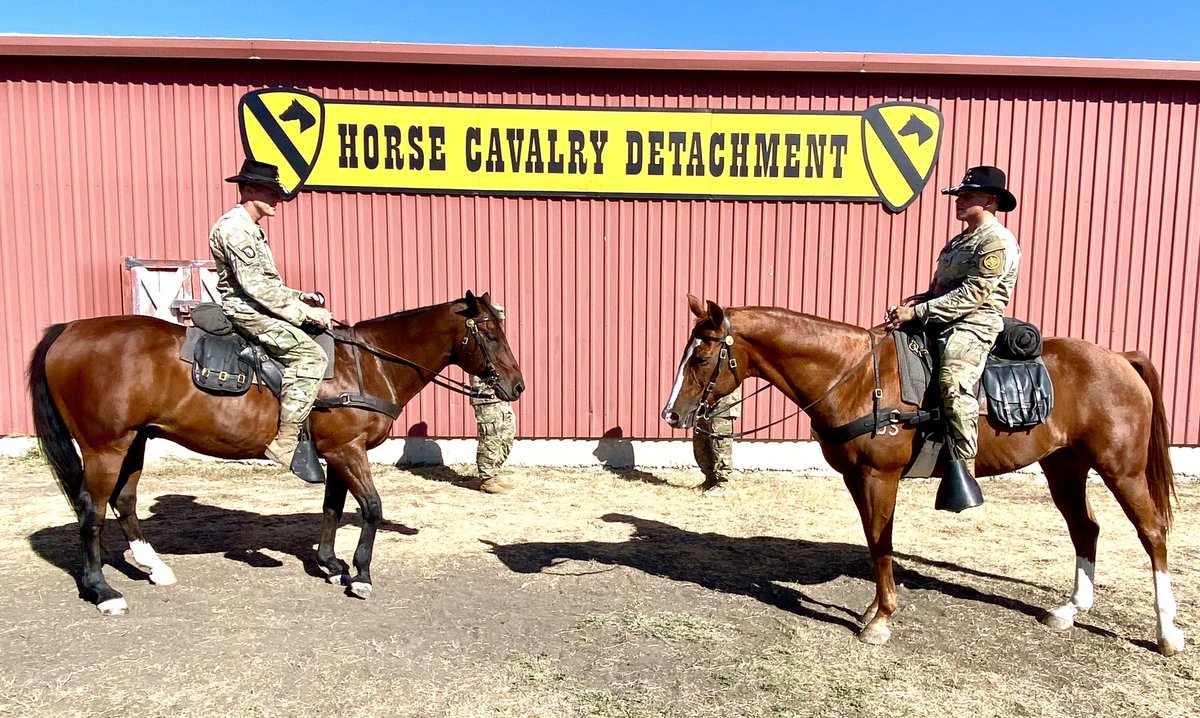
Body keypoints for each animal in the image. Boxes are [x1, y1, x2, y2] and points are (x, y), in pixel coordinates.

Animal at [28, 291, 524, 615]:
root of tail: (69, 331)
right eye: (490, 333)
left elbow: (332, 507)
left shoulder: (337, 453)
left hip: (135, 440)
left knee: (124, 501)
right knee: (91, 510)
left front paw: (330, 564)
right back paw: (103, 591)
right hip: (104, 446)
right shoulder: (348, 451)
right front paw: (361, 576)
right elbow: (371, 507)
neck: (366, 366)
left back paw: (154, 568)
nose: (517, 386)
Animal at [662, 295, 1184, 656]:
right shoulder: (857, 478)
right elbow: (877, 541)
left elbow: (880, 540)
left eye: (702, 357)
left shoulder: (880, 477)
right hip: (1064, 466)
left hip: (1122, 470)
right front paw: (875, 609)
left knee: (1153, 532)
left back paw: (1167, 633)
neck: (856, 378)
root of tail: (1120, 358)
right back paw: (1070, 610)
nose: (672, 414)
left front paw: (881, 621)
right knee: (1085, 529)